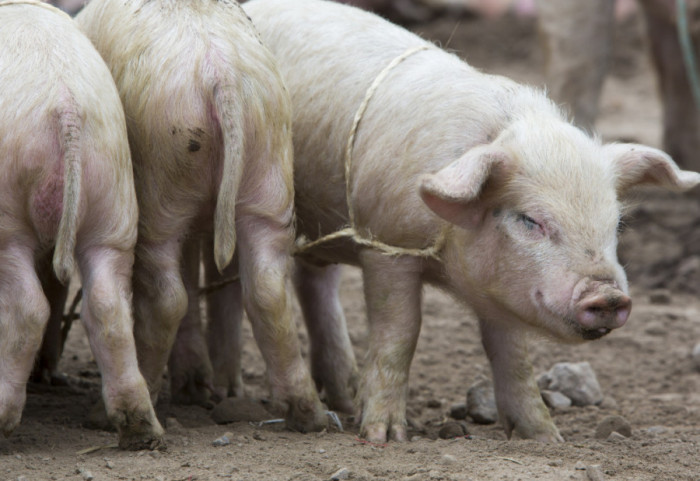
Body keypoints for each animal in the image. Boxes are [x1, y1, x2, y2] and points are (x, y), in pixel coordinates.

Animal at [0, 0, 163, 450]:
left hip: (8, 220)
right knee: (108, 308)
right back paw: (141, 432)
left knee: (28, 308)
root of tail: (66, 106)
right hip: (115, 204)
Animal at [75, 0, 326, 432]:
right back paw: (309, 417)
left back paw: (111, 414)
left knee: (168, 297)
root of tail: (221, 75)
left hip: (161, 185)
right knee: (269, 289)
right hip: (270, 172)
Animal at [242, 0, 700, 442]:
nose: (607, 295)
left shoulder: (506, 288)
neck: (446, 256)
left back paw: (344, 396)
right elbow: (400, 333)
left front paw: (546, 438)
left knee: (314, 282)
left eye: (618, 225)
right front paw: (383, 436)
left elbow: (512, 354)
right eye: (529, 220)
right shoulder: (386, 242)